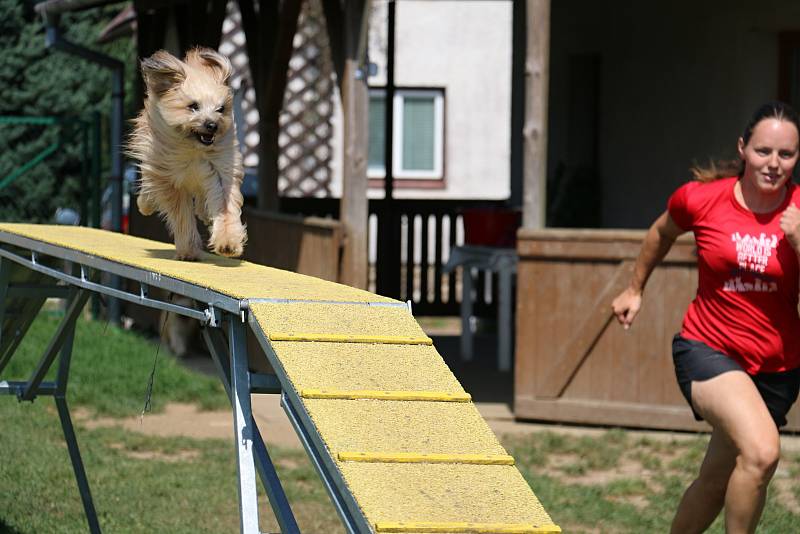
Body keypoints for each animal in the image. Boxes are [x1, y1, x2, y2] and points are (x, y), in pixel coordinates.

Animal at [128, 48, 245, 262]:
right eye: (193, 106)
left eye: (221, 109)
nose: (212, 125)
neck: (193, 149)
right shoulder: (169, 178)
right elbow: (181, 213)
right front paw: (189, 250)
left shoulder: (220, 170)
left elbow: (224, 205)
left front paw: (228, 242)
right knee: (149, 191)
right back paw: (145, 205)